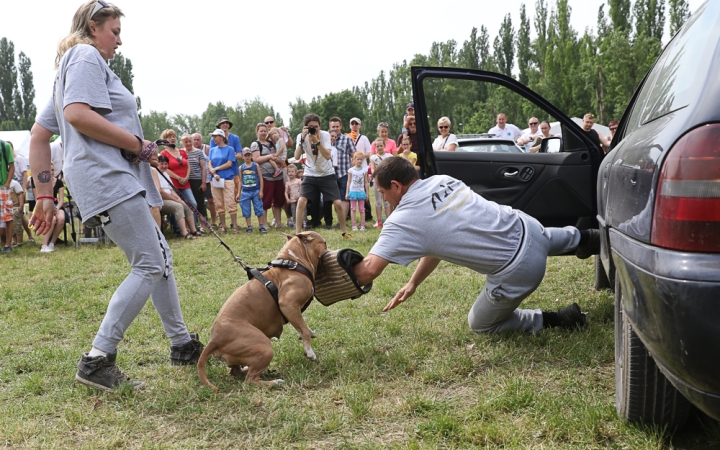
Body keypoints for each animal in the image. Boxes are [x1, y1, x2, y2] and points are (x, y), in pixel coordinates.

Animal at [200, 232, 330, 390]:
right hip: (264, 347)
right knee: (250, 381)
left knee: (235, 371)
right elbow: (303, 329)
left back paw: (248, 369)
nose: (329, 248)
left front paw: (310, 334)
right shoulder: (288, 305)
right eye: (324, 243)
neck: (293, 263)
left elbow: (302, 326)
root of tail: (214, 341)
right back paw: (274, 382)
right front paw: (310, 352)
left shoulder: (293, 312)